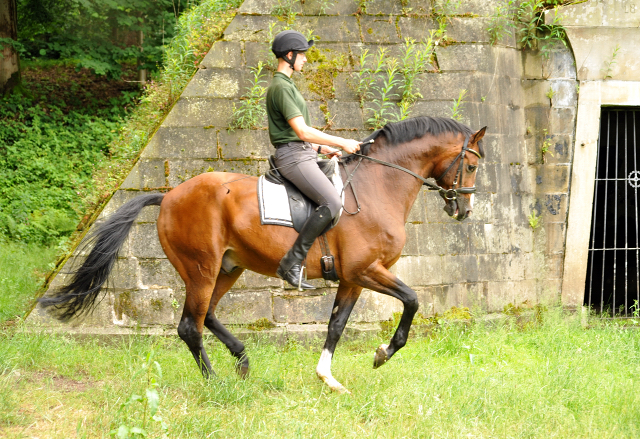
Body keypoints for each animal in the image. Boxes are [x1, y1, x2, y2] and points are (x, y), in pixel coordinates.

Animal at [40, 117, 484, 396]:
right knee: (189, 326)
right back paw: (216, 381)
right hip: (201, 268)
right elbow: (412, 300)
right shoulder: (365, 270)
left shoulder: (351, 278)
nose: (464, 210)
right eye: (472, 165)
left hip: (227, 268)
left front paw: (328, 378)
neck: (379, 186)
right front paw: (382, 353)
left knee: (207, 316)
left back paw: (241, 361)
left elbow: (336, 325)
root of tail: (168, 196)